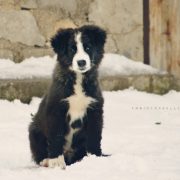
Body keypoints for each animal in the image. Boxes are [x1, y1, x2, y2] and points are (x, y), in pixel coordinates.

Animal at [28, 25, 106, 169]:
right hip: (34, 130)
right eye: (72, 49)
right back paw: (46, 160)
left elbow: (94, 136)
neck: (78, 79)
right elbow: (56, 136)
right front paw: (56, 162)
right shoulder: (55, 110)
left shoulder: (95, 110)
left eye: (88, 48)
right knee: (39, 152)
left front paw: (95, 158)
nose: (81, 62)